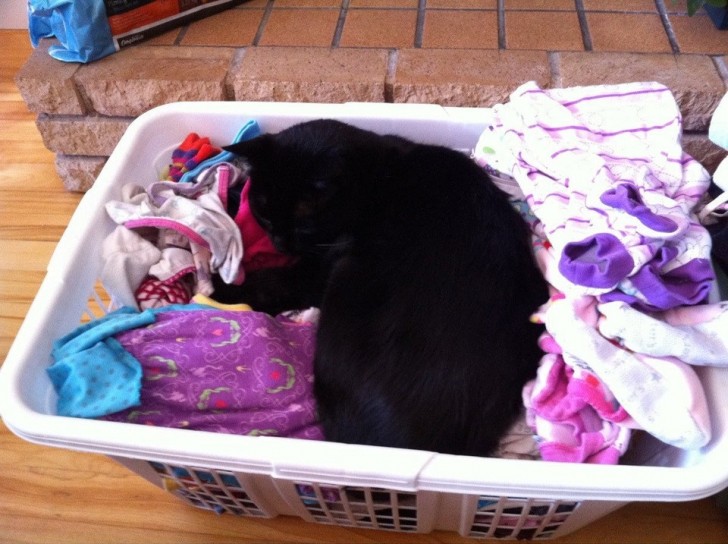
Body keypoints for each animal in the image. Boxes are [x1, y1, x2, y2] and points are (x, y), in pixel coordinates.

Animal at [225, 120, 548, 460]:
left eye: (303, 225)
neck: (377, 176)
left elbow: (271, 283)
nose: (279, 243)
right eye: (264, 213)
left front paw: (221, 288)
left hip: (344, 278)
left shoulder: (317, 271)